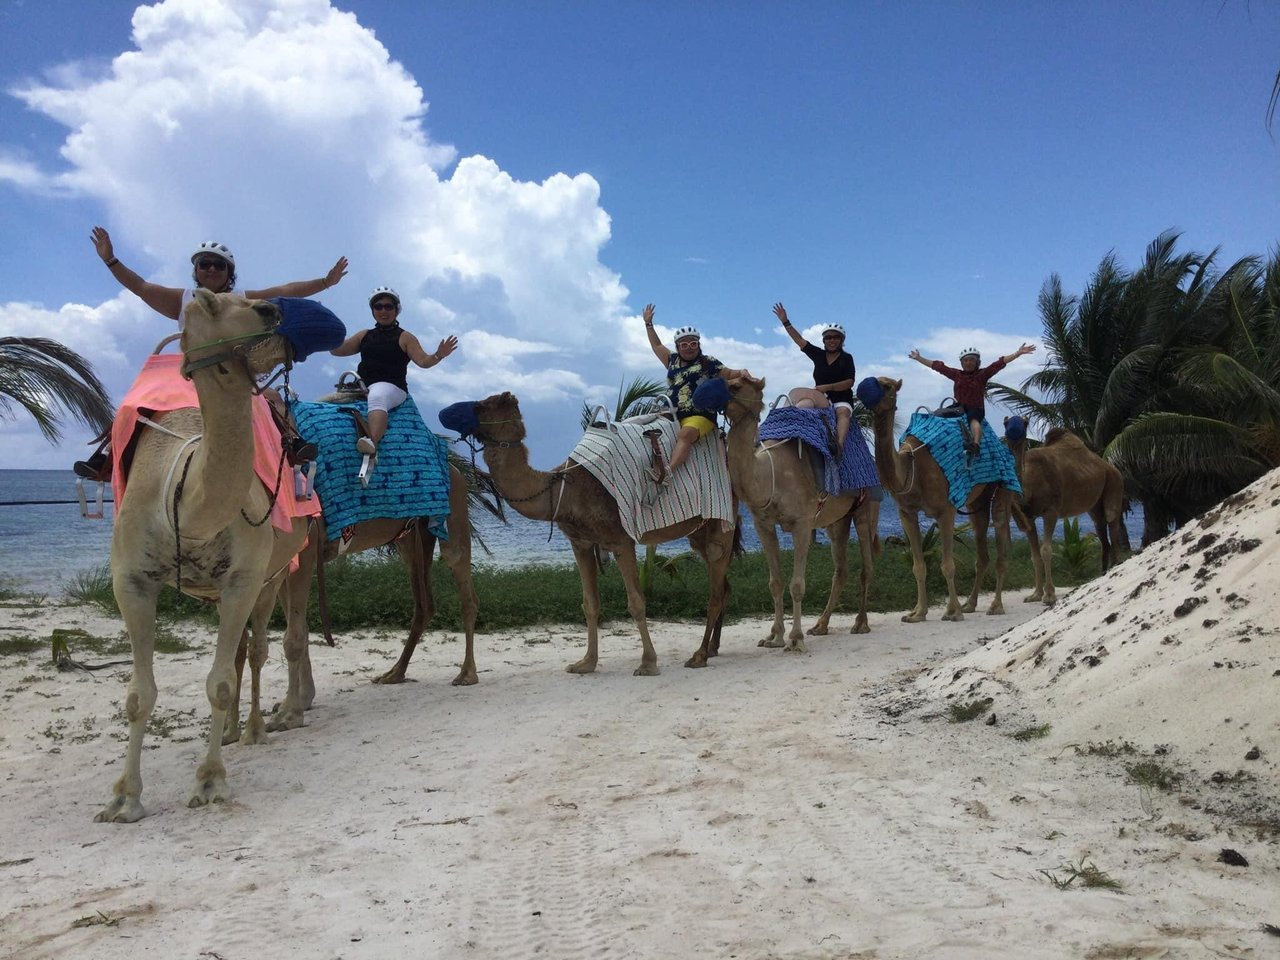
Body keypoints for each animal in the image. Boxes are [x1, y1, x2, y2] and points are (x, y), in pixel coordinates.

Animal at [96, 289, 311, 824]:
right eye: (216, 303)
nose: (274, 310)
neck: (184, 497)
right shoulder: (130, 580)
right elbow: (138, 695)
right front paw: (124, 798)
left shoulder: (243, 577)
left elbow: (219, 683)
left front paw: (210, 781)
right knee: (240, 653)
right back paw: (233, 732)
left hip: (274, 572)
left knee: (255, 651)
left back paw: (255, 729)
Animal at [471, 391, 737, 670]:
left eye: (483, 406)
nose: (456, 414)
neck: (565, 489)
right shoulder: (581, 543)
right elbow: (590, 603)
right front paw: (586, 663)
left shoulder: (621, 540)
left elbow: (636, 602)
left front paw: (647, 663)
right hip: (699, 531)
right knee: (722, 584)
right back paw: (712, 648)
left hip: (723, 517)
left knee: (716, 588)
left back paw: (699, 655)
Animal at [721, 376, 880, 655]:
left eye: (737, 384)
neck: (770, 473)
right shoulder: (763, 524)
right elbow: (775, 582)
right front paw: (774, 637)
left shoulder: (803, 524)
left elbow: (797, 584)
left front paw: (795, 639)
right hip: (836, 521)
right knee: (841, 569)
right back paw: (821, 625)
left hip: (865, 509)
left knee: (866, 566)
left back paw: (860, 624)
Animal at [860, 376, 1008, 624]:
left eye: (887, 386)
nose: (862, 391)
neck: (910, 467)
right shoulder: (906, 512)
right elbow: (918, 566)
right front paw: (918, 613)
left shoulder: (945, 510)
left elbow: (948, 565)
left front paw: (953, 612)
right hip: (976, 502)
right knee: (982, 553)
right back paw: (970, 604)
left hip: (1001, 486)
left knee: (999, 543)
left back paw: (995, 606)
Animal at [1003, 417, 1126, 604]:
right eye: (1006, 423)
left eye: (1024, 423)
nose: (1013, 432)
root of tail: (1109, 466)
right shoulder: (1028, 516)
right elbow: (1034, 556)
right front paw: (1035, 595)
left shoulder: (1051, 511)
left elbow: (1046, 550)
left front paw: (1049, 595)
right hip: (1094, 506)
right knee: (1102, 532)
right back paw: (1102, 573)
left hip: (1115, 483)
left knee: (1112, 521)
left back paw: (1115, 567)